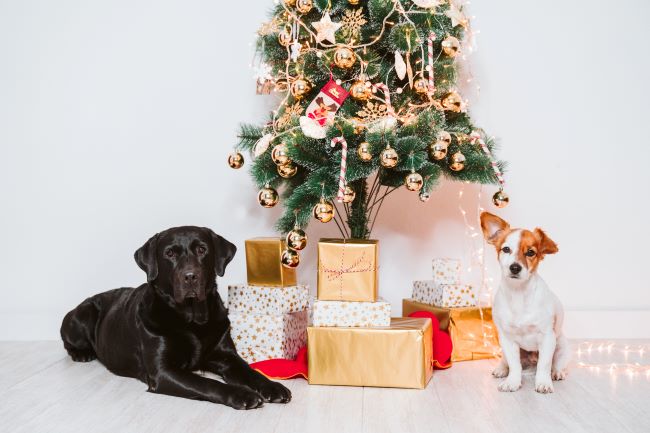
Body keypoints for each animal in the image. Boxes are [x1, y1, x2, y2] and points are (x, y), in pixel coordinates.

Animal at [60, 226, 288, 408]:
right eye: (169, 253)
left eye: (202, 250)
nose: (190, 276)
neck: (192, 321)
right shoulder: (163, 371)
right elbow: (207, 382)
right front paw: (242, 394)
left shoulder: (226, 356)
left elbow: (250, 371)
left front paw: (273, 387)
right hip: (83, 315)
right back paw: (82, 354)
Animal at [478, 211, 564, 394]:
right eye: (506, 249)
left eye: (530, 252)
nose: (515, 267)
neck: (518, 294)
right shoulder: (508, 339)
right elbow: (514, 365)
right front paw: (512, 382)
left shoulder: (548, 338)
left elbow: (544, 365)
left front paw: (543, 382)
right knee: (507, 361)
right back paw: (501, 369)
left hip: (561, 344)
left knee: (557, 363)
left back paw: (557, 372)